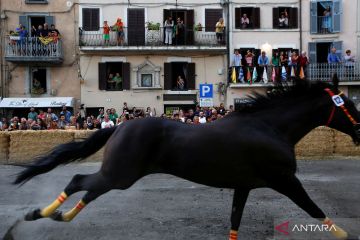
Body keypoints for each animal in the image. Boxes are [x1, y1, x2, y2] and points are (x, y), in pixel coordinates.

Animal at [14, 76, 360, 239]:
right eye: (349, 105)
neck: (270, 127)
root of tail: (119, 126)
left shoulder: (245, 185)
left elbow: (235, 221)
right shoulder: (284, 178)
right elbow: (313, 208)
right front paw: (344, 234)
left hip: (120, 176)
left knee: (90, 190)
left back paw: (56, 216)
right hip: (121, 174)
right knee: (78, 181)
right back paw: (39, 213)